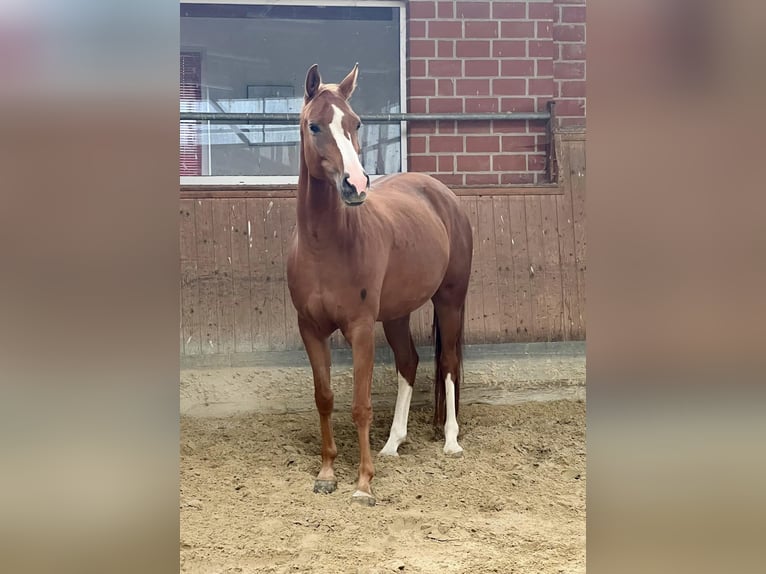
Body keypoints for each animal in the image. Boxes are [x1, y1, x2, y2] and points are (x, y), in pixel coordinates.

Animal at [284, 65, 472, 506]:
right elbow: (325, 399)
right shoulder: (310, 329)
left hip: (450, 300)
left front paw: (364, 484)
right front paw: (327, 473)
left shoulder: (360, 329)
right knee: (410, 363)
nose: (355, 184)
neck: (326, 246)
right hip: (397, 314)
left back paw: (451, 441)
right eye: (314, 125)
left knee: (448, 362)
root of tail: (443, 195)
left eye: (356, 123)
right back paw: (393, 444)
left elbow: (360, 405)